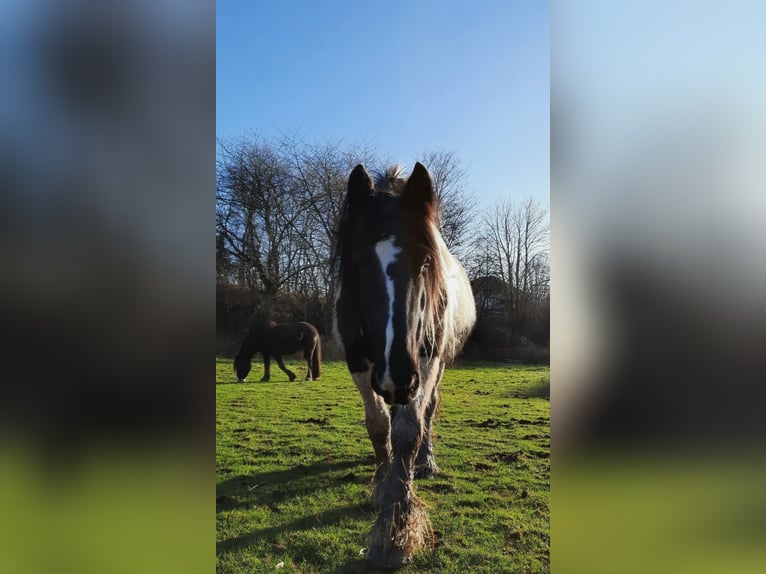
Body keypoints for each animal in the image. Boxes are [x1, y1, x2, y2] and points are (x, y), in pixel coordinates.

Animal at [333, 163, 476, 568]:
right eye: (359, 264)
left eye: (426, 261)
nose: (396, 376)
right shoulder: (359, 363)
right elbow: (379, 425)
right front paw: (384, 487)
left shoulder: (423, 364)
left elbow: (409, 430)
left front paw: (395, 533)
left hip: (434, 366)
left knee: (426, 411)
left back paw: (424, 462)